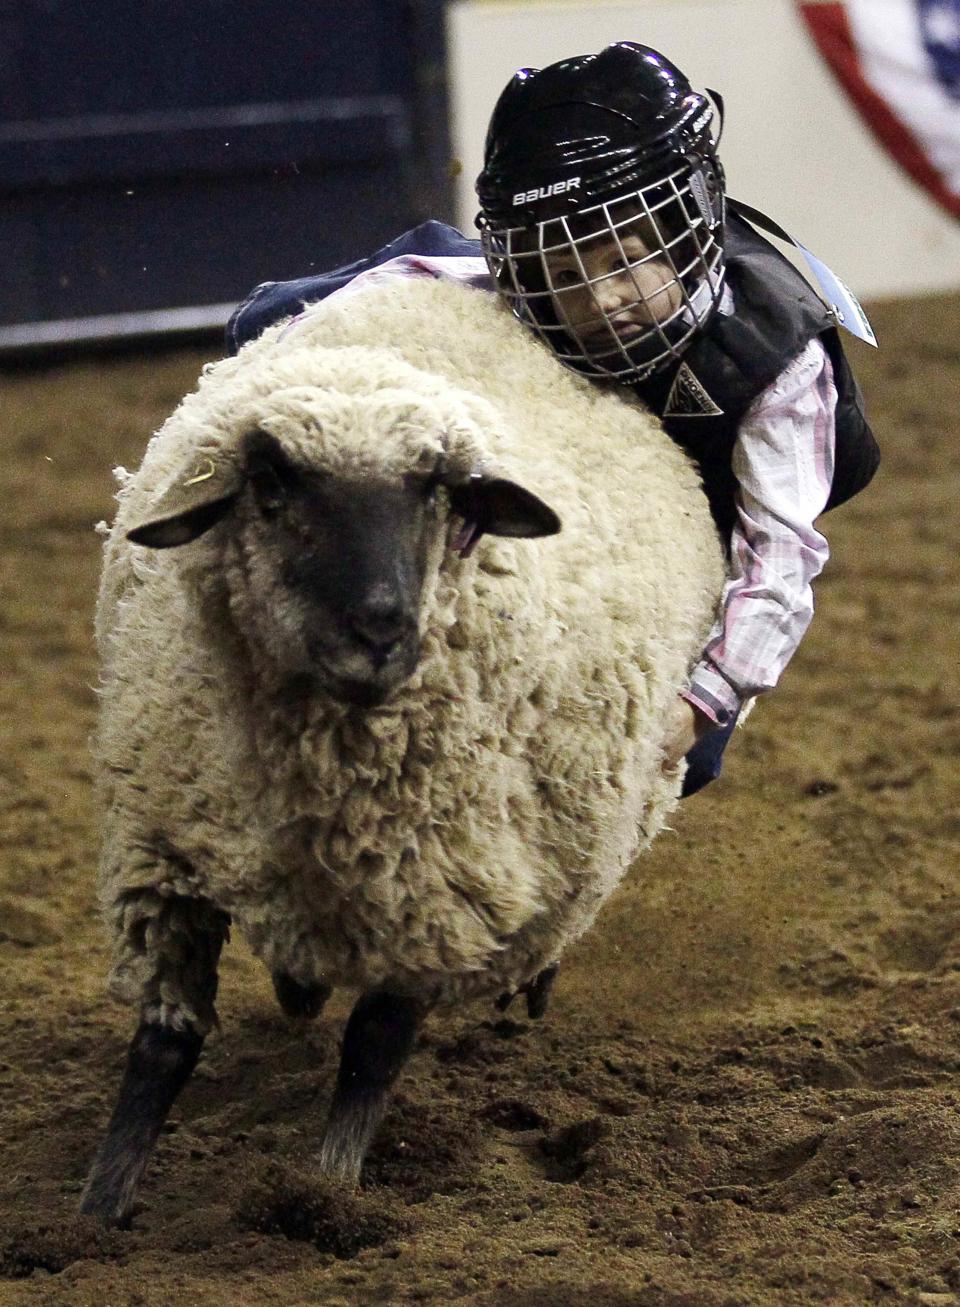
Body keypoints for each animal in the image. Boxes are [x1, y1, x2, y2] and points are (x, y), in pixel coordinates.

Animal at [82, 275, 726, 1223]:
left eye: (436, 492)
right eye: (270, 482)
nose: (381, 628)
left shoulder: (444, 888)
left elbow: (373, 1049)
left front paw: (324, 1196)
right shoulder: (160, 856)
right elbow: (161, 1046)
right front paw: (93, 1215)